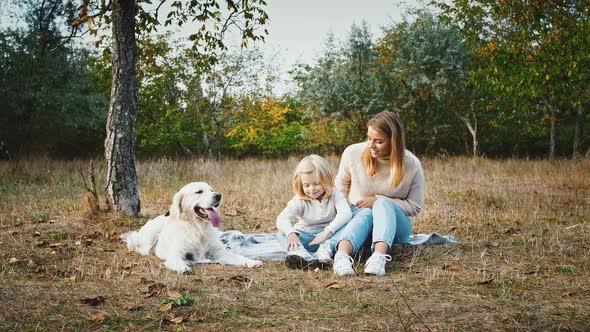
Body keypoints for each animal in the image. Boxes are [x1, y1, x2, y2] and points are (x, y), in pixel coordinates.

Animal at [121, 182, 262, 272]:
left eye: (211, 190)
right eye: (199, 192)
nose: (218, 195)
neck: (197, 227)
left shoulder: (218, 251)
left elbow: (236, 256)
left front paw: (251, 262)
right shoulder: (177, 252)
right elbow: (176, 259)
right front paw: (182, 267)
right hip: (151, 235)